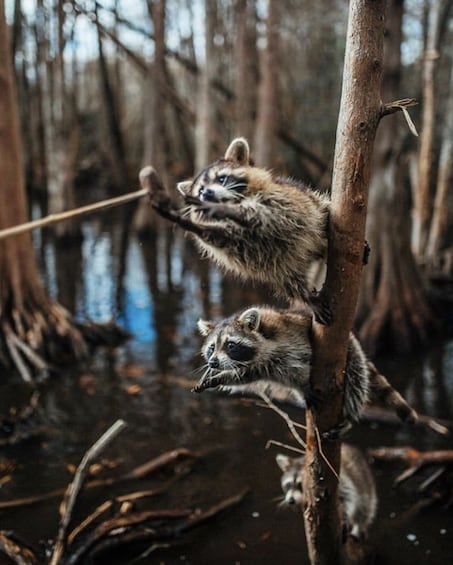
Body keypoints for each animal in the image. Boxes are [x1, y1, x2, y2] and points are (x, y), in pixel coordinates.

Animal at [142, 137, 332, 322]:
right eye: (200, 190)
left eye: (221, 179)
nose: (207, 194)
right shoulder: (237, 241)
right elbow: (222, 240)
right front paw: (194, 225)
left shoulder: (282, 202)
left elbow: (265, 213)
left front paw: (228, 210)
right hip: (283, 270)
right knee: (289, 281)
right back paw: (307, 297)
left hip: (315, 211)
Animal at [192, 306, 418, 434]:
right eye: (211, 348)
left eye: (230, 345)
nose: (212, 363)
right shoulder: (260, 367)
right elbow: (244, 376)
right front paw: (219, 378)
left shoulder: (289, 339)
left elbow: (297, 364)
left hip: (351, 351)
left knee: (356, 378)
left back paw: (350, 415)